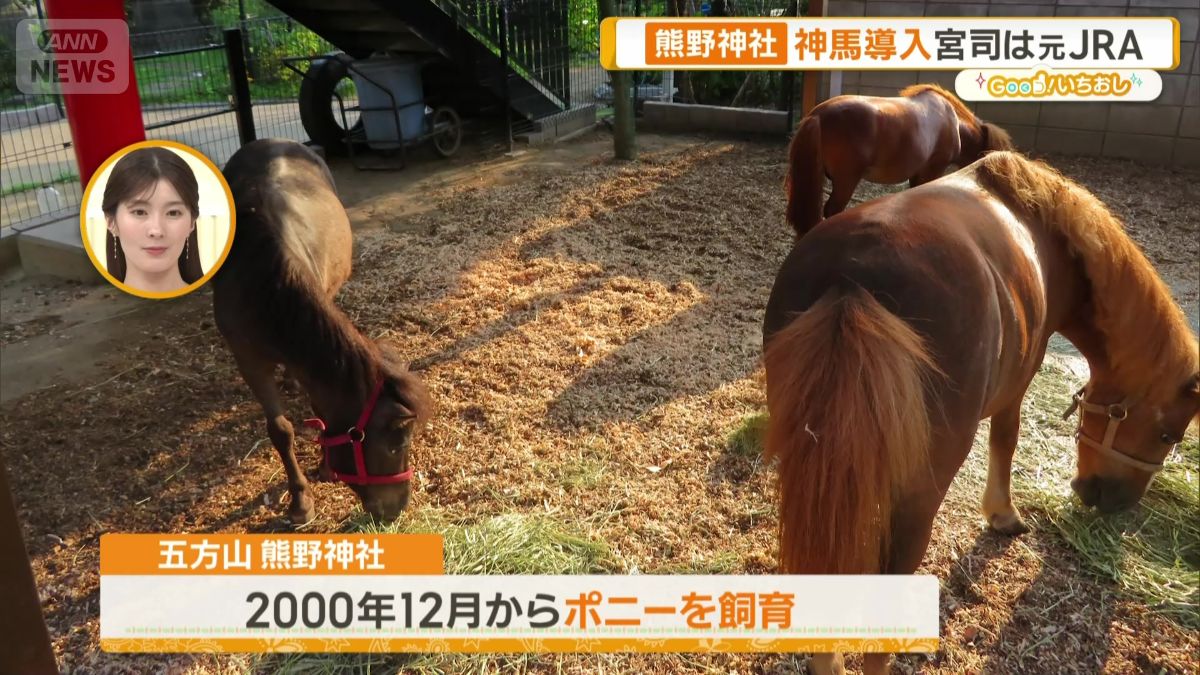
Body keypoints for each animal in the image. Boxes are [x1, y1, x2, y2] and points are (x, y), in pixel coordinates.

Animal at [214, 139, 433, 525]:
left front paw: (326, 468)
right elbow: (280, 430)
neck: (261, 285)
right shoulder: (248, 359)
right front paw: (300, 501)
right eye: (397, 444)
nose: (397, 508)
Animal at [762, 151, 1199, 674]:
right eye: (1168, 435)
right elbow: (1006, 438)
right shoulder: (1020, 380)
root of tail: (852, 282)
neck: (1045, 229)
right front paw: (1003, 514)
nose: (1112, 501)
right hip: (918, 495)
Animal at [784, 83, 1015, 237]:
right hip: (845, 182)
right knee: (831, 211)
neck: (953, 124)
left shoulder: (916, 174)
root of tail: (818, 116)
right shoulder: (933, 170)